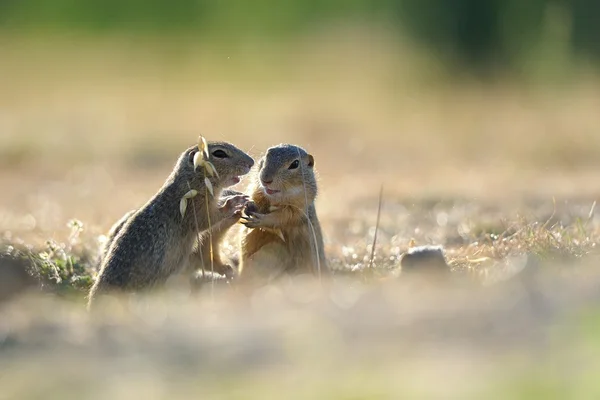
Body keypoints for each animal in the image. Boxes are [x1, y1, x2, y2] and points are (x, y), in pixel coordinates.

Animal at [87, 141, 253, 306]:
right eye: (219, 153)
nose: (251, 162)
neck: (192, 181)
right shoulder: (194, 206)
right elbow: (207, 219)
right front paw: (234, 203)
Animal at [237, 142, 328, 286]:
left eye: (295, 164)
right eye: (267, 156)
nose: (265, 179)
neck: (275, 199)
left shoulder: (296, 210)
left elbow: (280, 218)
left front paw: (259, 220)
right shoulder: (257, 191)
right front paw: (248, 206)